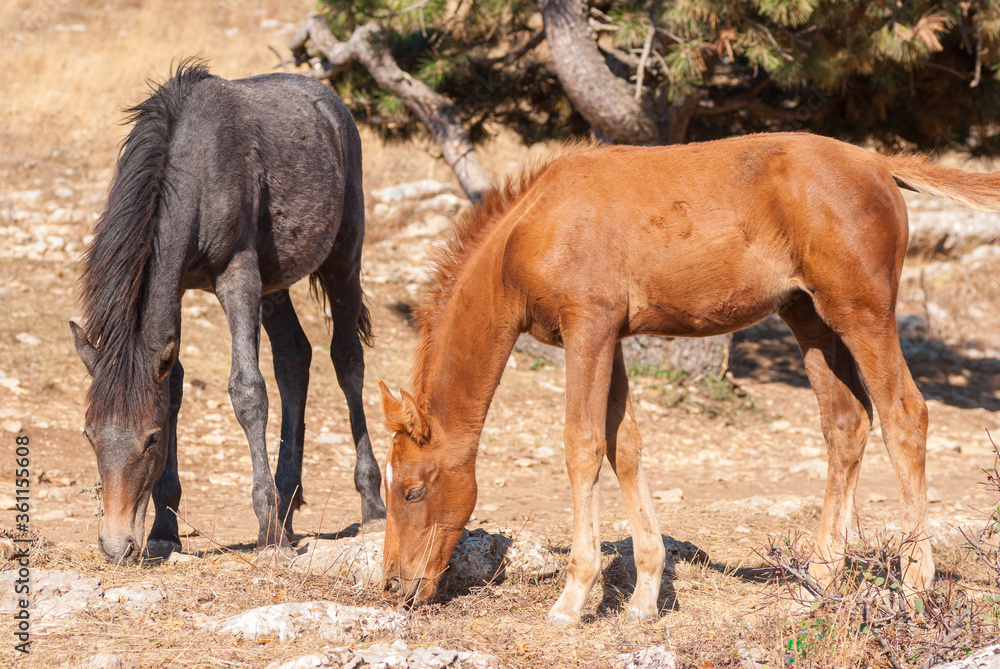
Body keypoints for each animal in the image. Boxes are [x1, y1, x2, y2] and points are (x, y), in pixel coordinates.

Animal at [70, 61, 385, 564]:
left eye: (151, 438)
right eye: (89, 434)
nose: (117, 546)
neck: (193, 167)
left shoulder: (238, 275)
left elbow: (248, 391)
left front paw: (269, 539)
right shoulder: (178, 284)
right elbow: (174, 388)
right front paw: (165, 529)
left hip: (343, 259)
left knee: (347, 360)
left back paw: (370, 507)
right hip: (276, 285)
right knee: (294, 358)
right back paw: (288, 506)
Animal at [378, 132, 1000, 624]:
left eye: (413, 489)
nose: (391, 584)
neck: (531, 227)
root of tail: (878, 163)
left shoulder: (588, 327)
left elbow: (583, 445)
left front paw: (573, 598)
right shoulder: (612, 337)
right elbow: (624, 445)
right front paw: (644, 597)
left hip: (862, 312)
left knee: (904, 414)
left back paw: (914, 587)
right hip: (810, 318)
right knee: (847, 423)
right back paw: (819, 583)